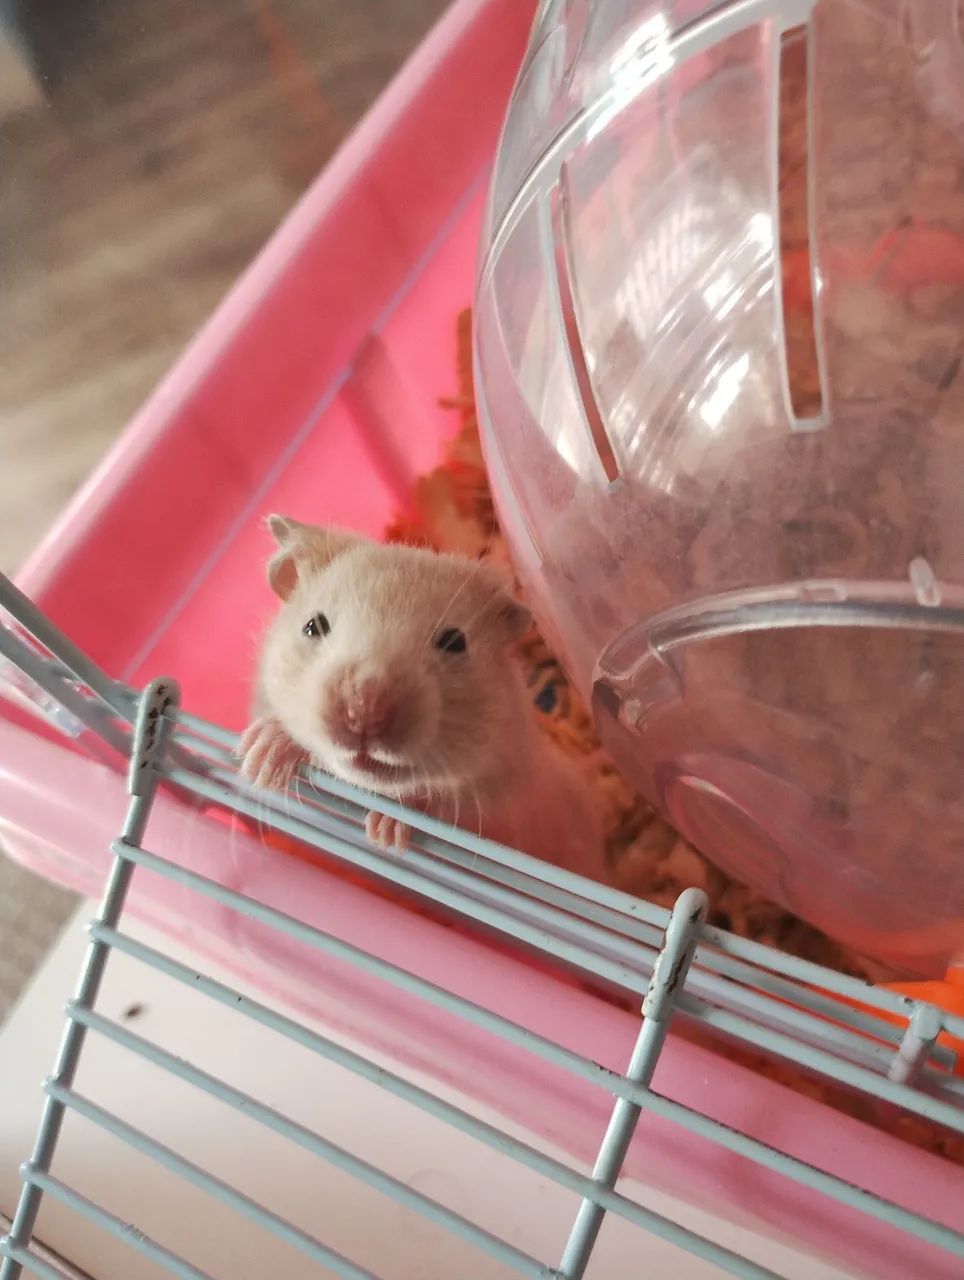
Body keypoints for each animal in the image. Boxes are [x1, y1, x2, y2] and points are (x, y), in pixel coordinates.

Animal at [238, 515, 607, 882]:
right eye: (313, 626)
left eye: (455, 642)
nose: (364, 712)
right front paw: (259, 760)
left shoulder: (502, 802)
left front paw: (386, 834)